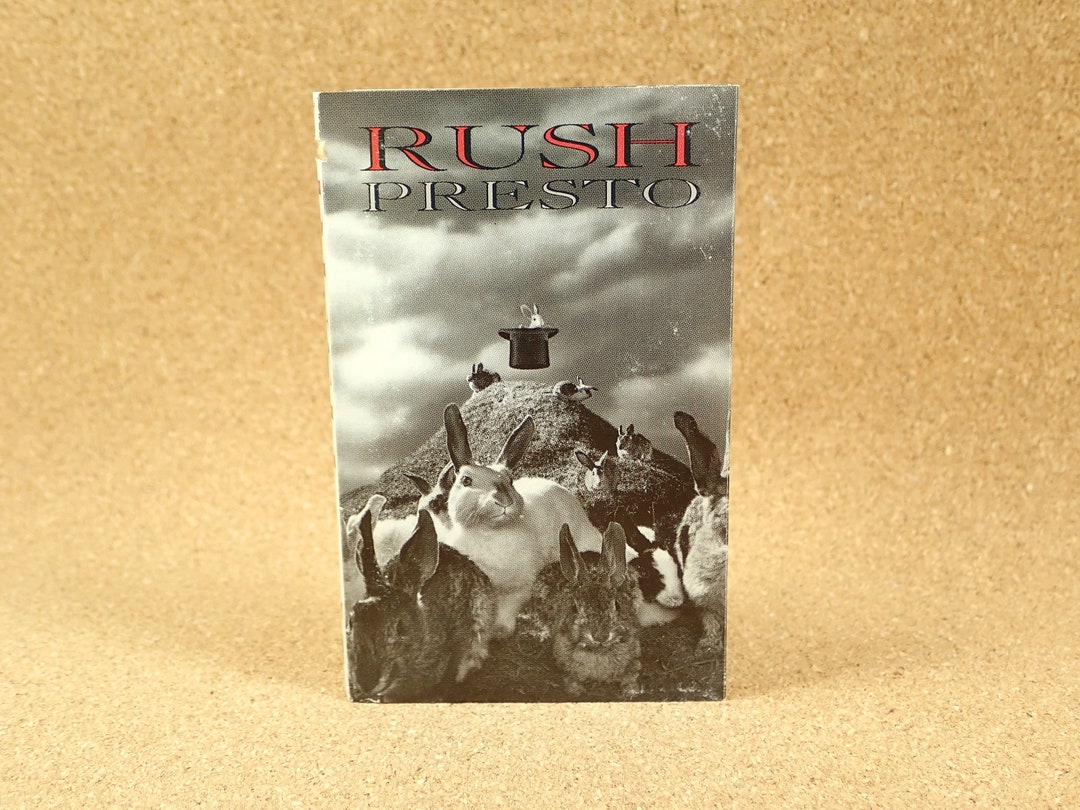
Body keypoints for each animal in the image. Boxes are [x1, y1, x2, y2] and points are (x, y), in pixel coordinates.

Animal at [439, 403, 602, 638]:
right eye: (466, 480)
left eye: (510, 480)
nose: (504, 501)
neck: (488, 533)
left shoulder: (519, 588)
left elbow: (507, 611)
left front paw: (499, 631)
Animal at [530, 522, 641, 697]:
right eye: (575, 607)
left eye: (617, 605)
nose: (601, 636)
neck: (598, 651)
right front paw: (575, 691)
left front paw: (631, 691)